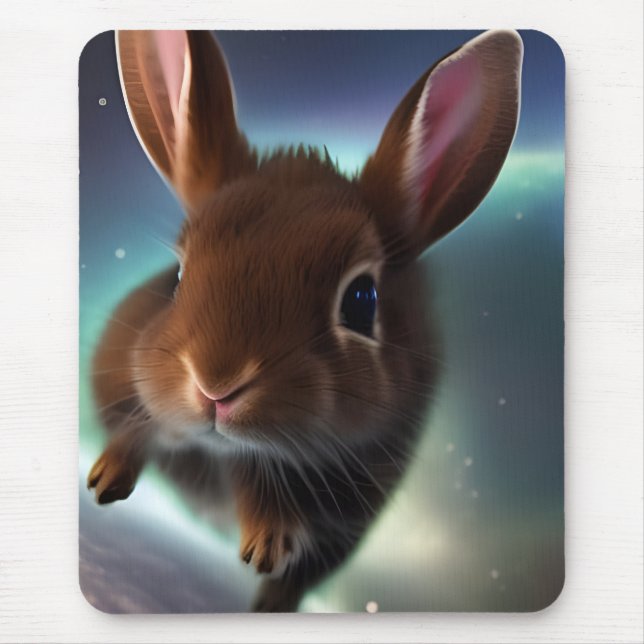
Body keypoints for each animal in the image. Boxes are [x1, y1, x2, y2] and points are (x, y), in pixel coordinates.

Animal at [87, 29, 523, 612]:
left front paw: (268, 549)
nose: (214, 386)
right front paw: (105, 478)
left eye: (361, 300)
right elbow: (144, 428)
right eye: (177, 277)